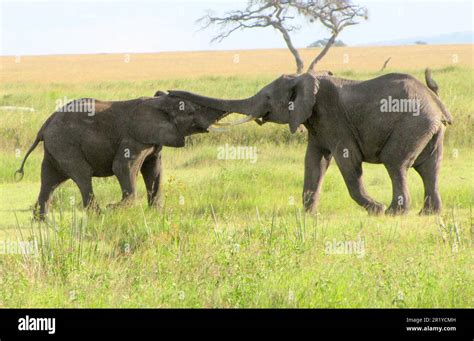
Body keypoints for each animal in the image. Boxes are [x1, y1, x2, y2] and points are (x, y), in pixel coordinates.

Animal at [15, 91, 234, 218]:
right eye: (192, 112)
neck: (156, 102)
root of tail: (45, 125)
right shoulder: (134, 137)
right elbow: (122, 167)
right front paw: (116, 208)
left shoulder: (153, 140)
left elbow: (154, 170)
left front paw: (156, 214)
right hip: (65, 144)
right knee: (82, 175)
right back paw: (99, 215)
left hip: (55, 147)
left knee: (50, 179)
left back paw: (41, 220)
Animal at [168, 67, 454, 214]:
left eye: (268, 98)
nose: (168, 92)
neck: (303, 77)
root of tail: (436, 102)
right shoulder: (317, 121)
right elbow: (314, 162)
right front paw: (308, 215)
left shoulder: (333, 117)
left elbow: (348, 161)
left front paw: (376, 209)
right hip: (429, 129)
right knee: (430, 167)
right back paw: (428, 213)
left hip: (412, 124)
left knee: (396, 164)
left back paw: (395, 212)